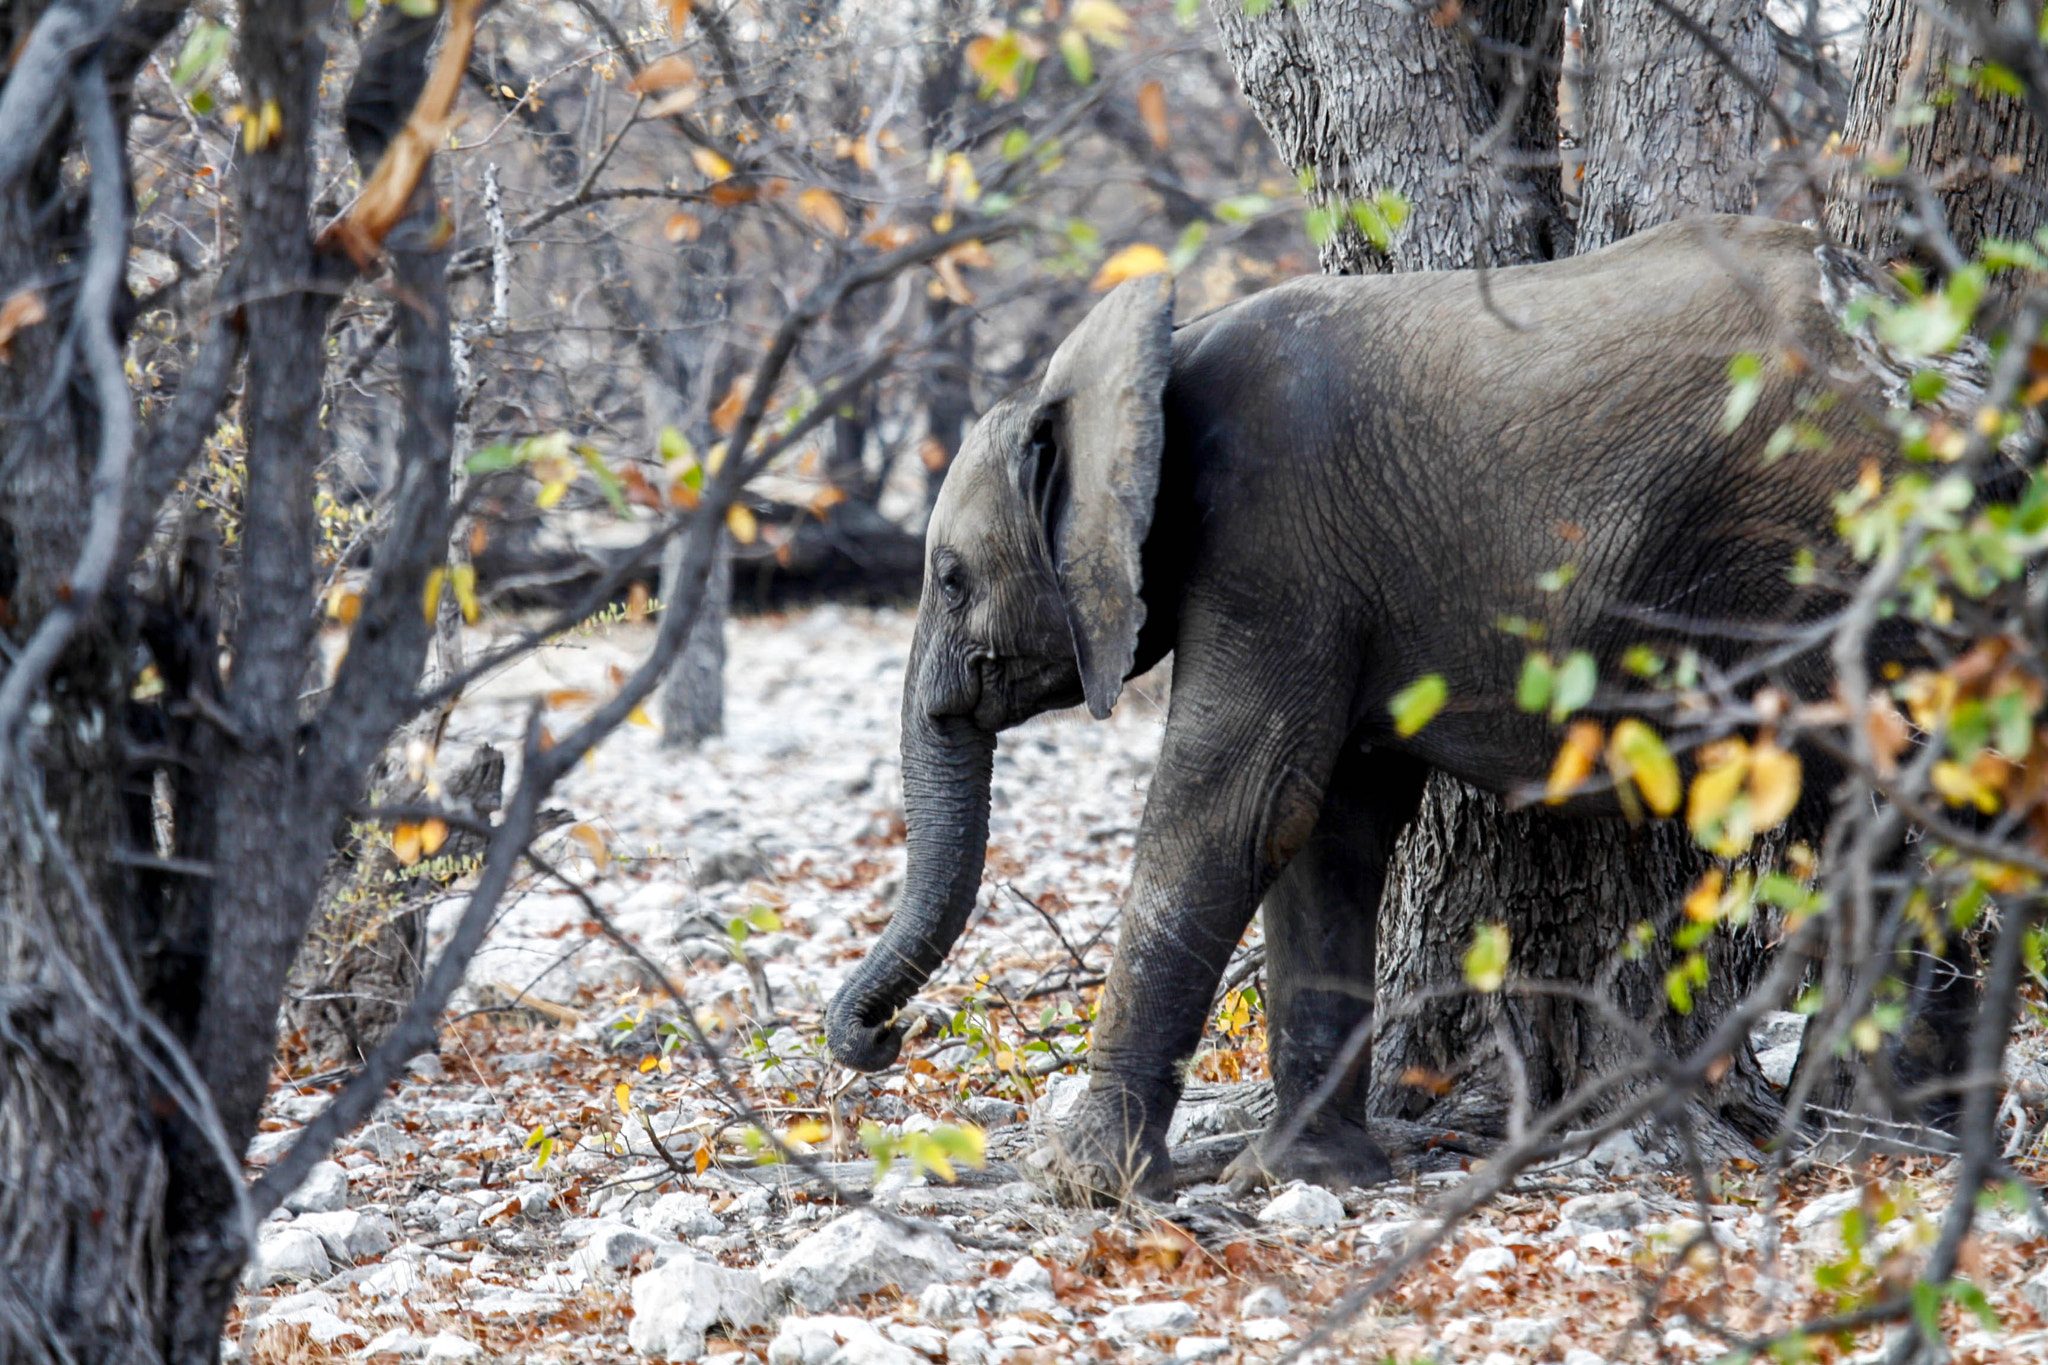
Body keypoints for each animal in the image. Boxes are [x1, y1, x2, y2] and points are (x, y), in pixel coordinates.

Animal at [824, 215, 1926, 1200]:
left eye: (951, 579)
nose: (891, 1034)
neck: (1149, 374)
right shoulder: (1337, 586)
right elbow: (1322, 831)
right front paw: (1307, 1173)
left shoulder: (1270, 552)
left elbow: (1234, 813)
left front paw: (1080, 1183)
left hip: (1829, 540)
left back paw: (1870, 1138)